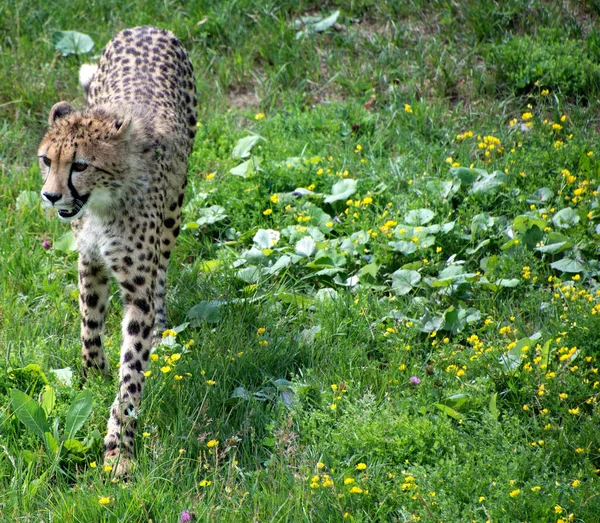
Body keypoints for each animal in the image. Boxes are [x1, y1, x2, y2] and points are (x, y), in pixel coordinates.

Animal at [37, 25, 197, 474]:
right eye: (46, 160)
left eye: (80, 165)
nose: (50, 196)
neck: (103, 205)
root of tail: (148, 27)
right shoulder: (89, 261)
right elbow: (89, 328)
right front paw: (94, 377)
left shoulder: (137, 289)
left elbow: (132, 371)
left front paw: (120, 446)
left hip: (174, 211)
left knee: (162, 268)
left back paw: (161, 327)